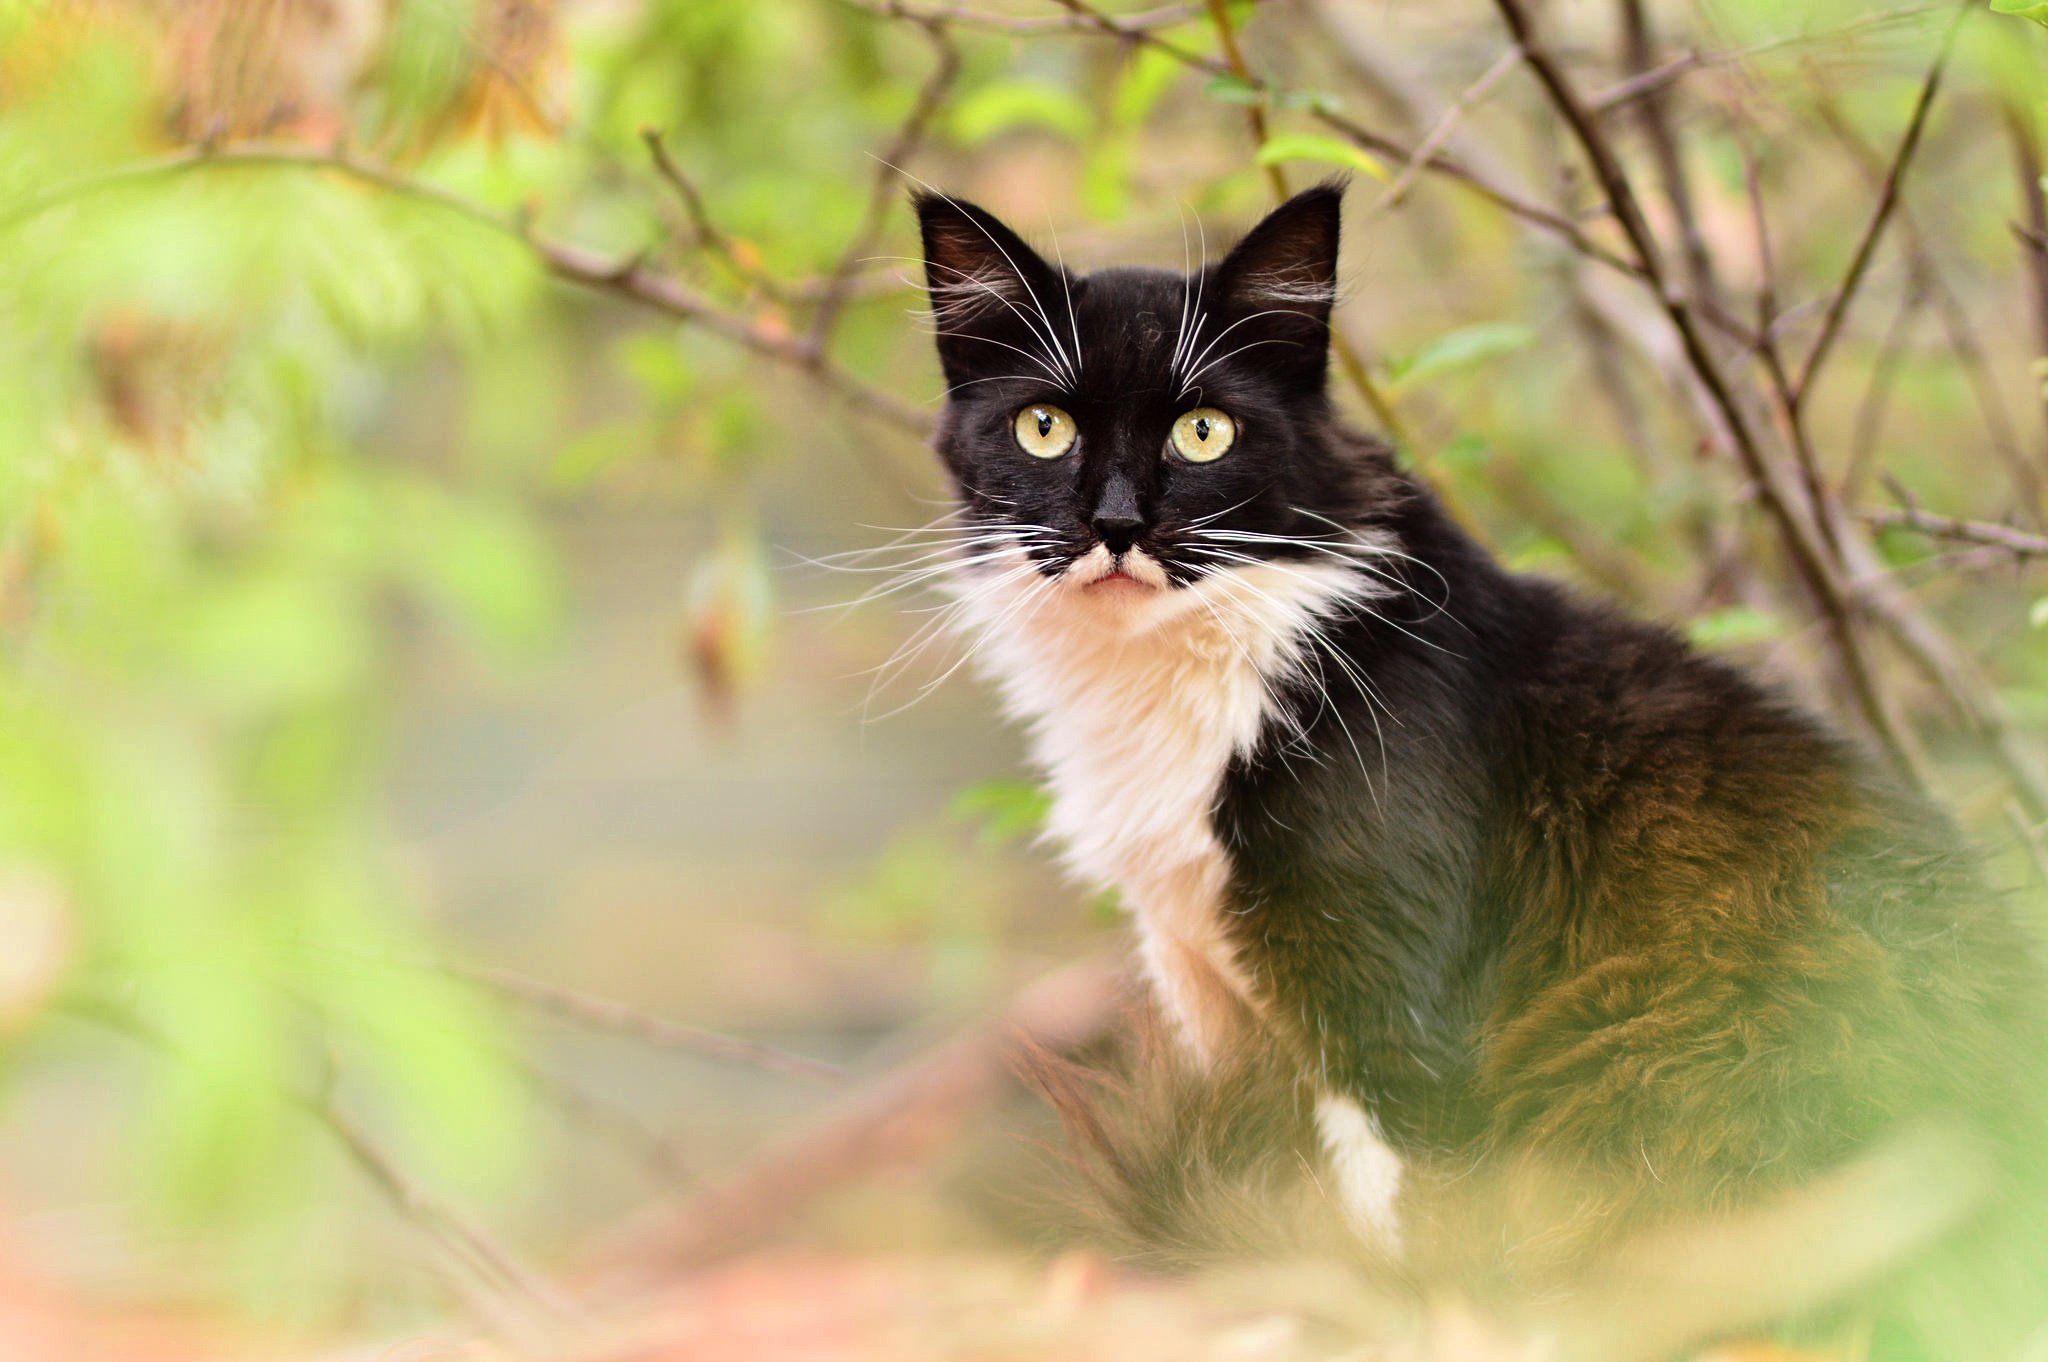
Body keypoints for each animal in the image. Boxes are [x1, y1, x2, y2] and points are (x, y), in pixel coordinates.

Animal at [913, 180, 2048, 1351]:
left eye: (1203, 430)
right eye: (1043, 428)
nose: (1116, 524)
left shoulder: (1389, 1004)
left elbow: (1404, 1219)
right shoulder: (1201, 986)